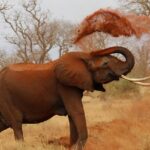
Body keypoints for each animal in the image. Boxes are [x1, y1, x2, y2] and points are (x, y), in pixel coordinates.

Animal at [0, 46, 135, 149]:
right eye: (105, 63)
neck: (84, 56)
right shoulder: (65, 85)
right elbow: (76, 112)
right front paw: (75, 147)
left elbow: (72, 115)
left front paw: (72, 146)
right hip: (6, 99)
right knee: (17, 125)